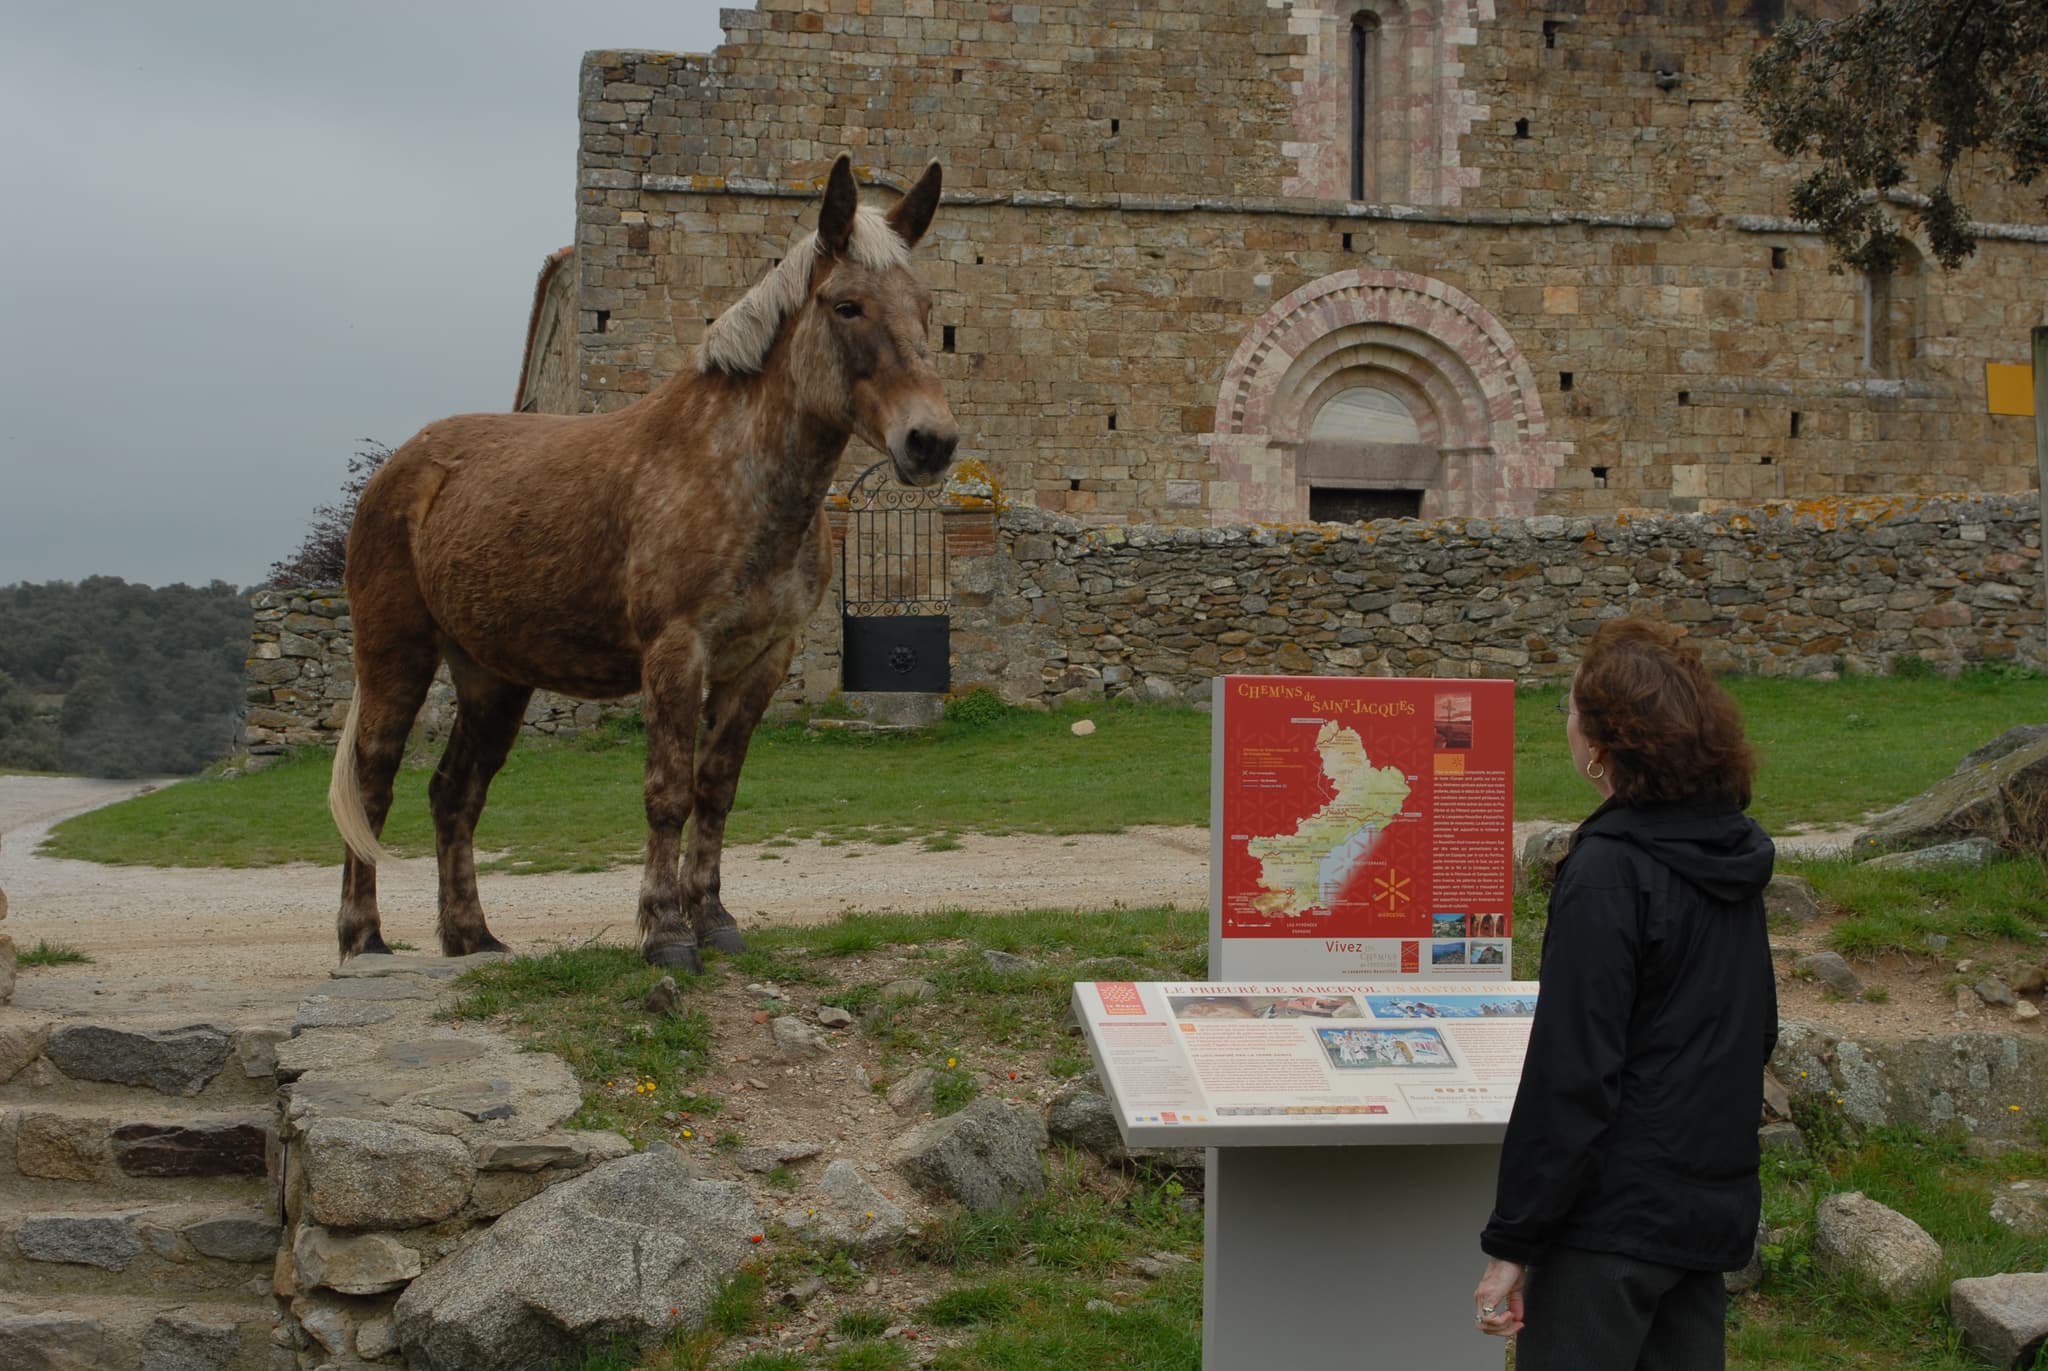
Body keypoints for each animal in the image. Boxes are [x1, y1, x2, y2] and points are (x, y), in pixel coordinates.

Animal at [327, 155, 958, 973]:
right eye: (847, 305)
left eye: (926, 307)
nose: (930, 442)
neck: (732, 469)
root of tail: (400, 469)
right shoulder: (675, 652)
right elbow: (668, 793)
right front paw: (664, 933)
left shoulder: (762, 659)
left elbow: (715, 790)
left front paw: (714, 920)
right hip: (395, 653)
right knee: (373, 784)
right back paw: (364, 938)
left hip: (492, 677)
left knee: (453, 793)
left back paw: (472, 937)